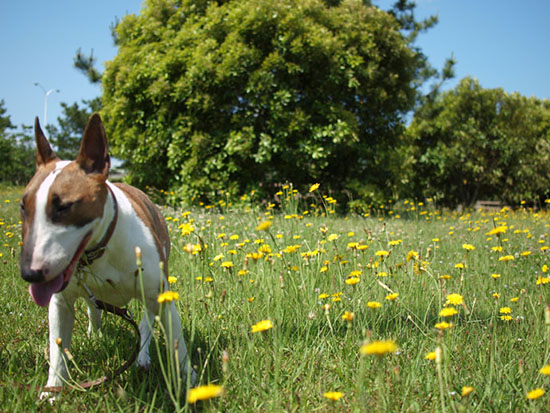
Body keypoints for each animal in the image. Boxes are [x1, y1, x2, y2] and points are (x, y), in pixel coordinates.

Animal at [20, 113, 197, 392]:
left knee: (146, 324)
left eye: (64, 207)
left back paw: (142, 357)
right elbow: (57, 350)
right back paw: (95, 334)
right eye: (23, 207)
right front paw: (52, 392)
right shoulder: (60, 303)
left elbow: (178, 347)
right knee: (93, 309)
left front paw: (190, 384)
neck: (101, 248)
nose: (30, 274)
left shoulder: (161, 296)